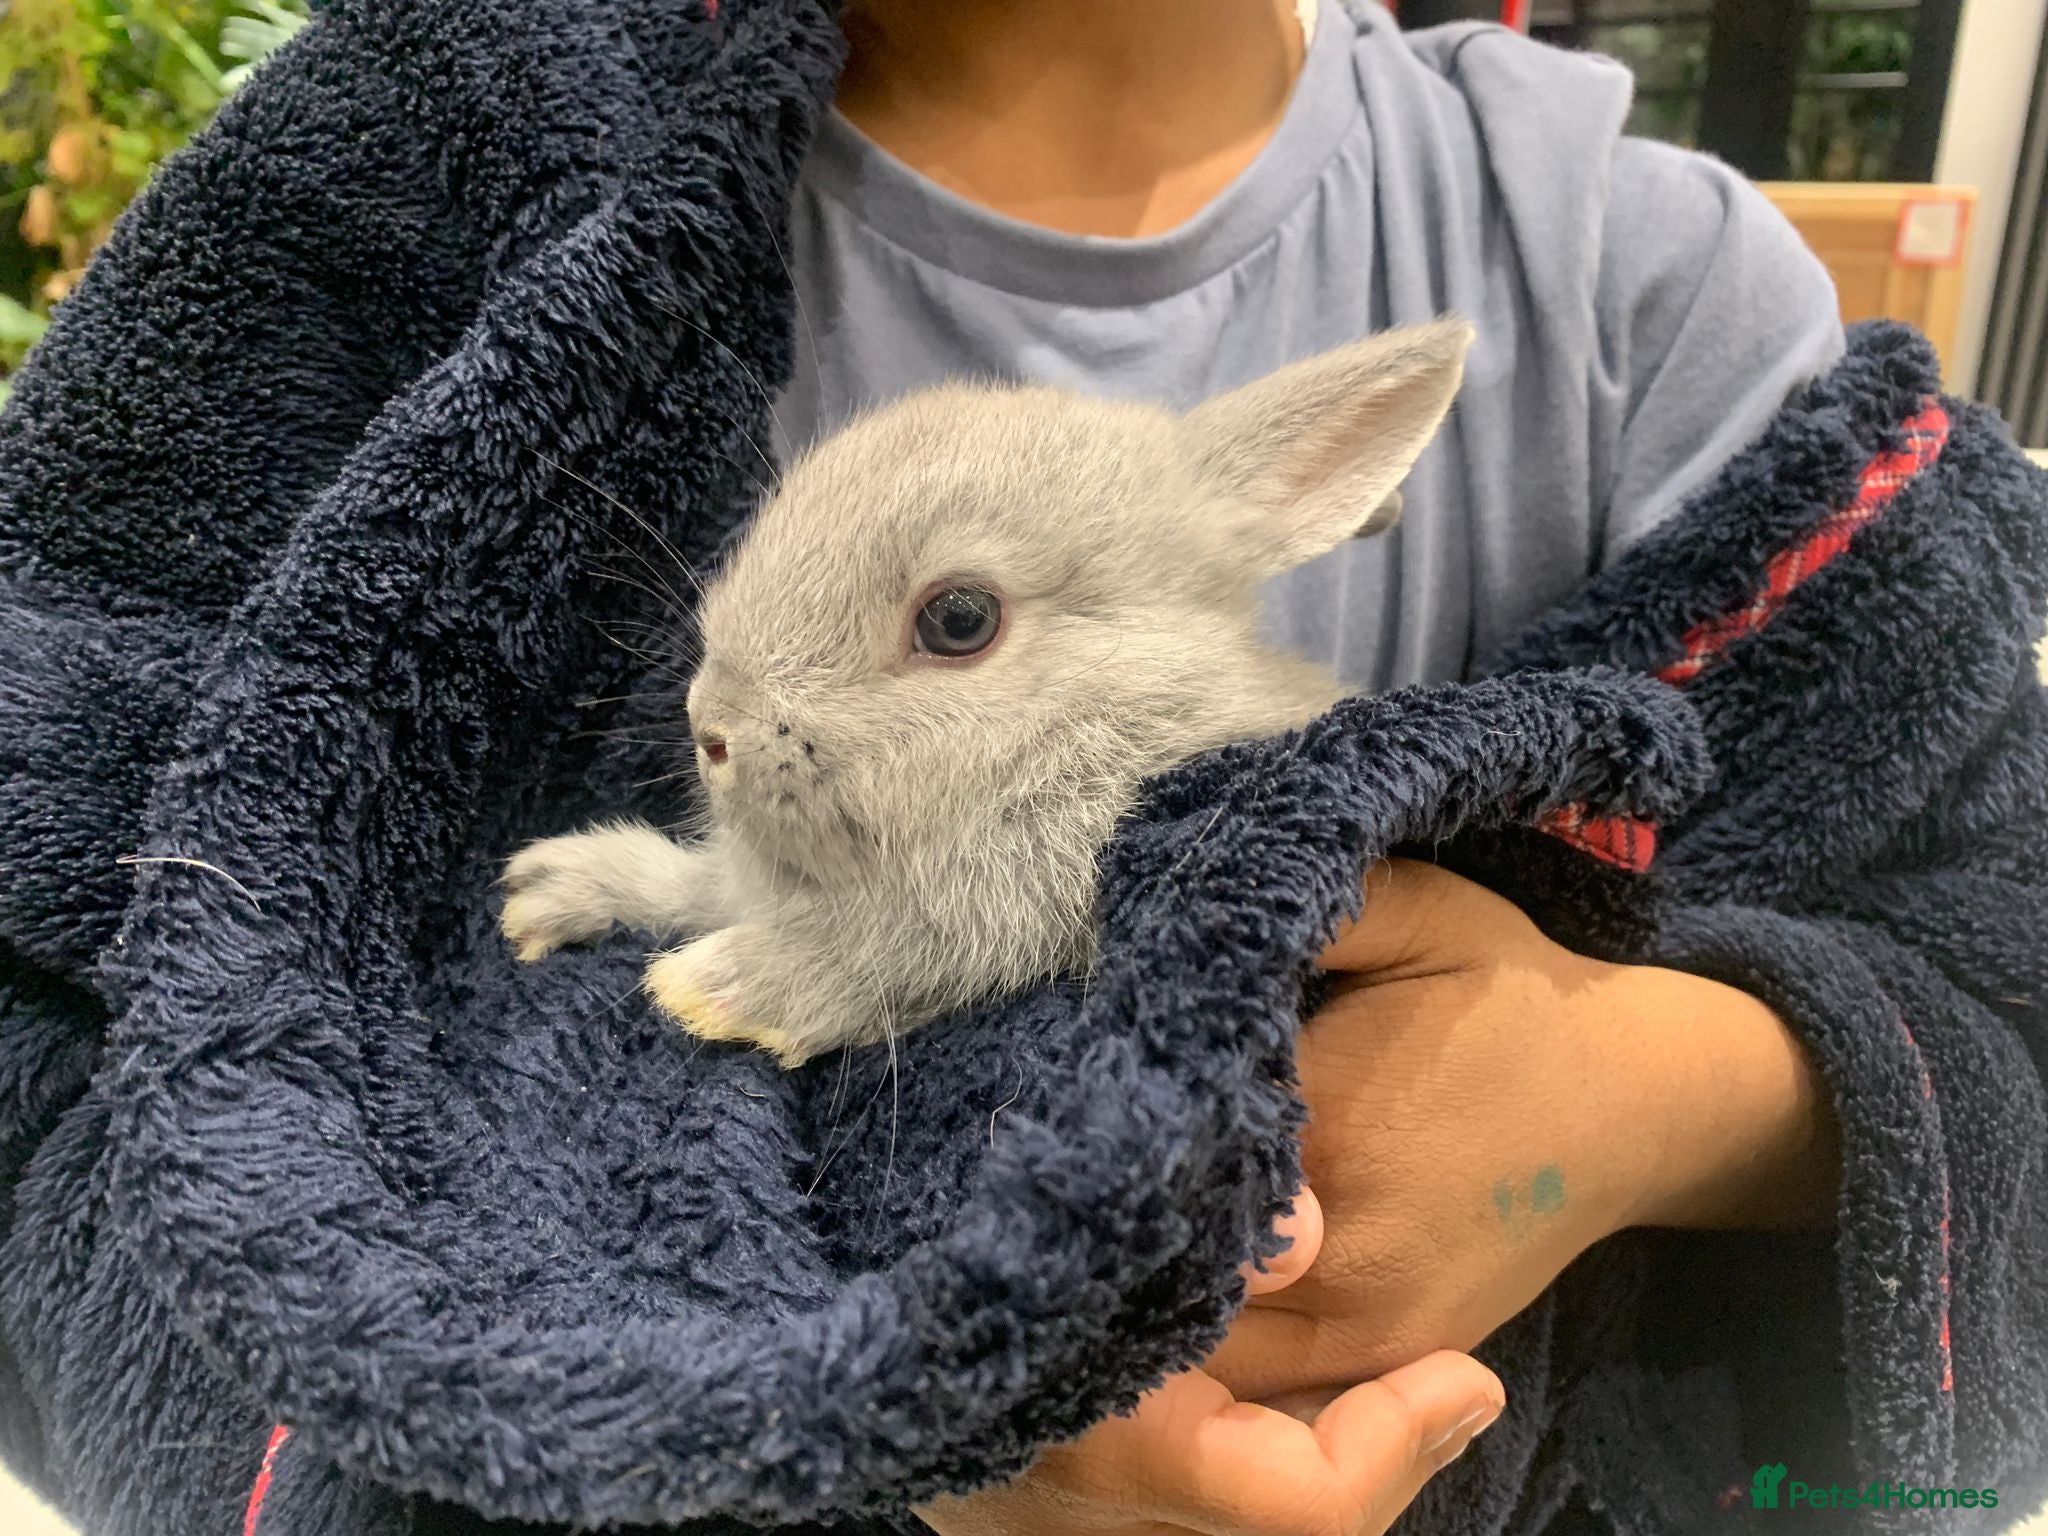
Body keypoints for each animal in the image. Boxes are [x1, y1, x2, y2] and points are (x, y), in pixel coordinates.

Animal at [500, 319, 1473, 1067]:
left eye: (960, 620)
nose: (713, 730)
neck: (1091, 731)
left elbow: (913, 949)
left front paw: (715, 988)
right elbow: (698, 885)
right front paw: (552, 887)